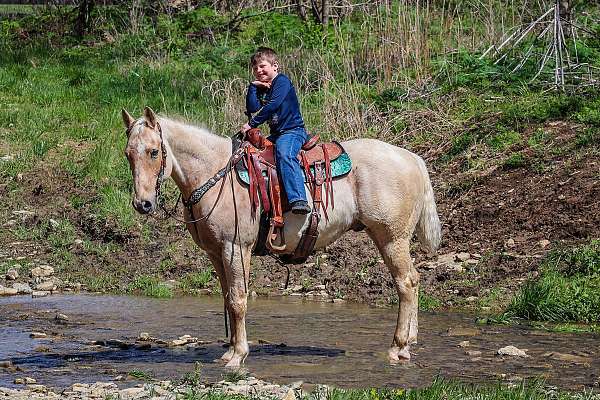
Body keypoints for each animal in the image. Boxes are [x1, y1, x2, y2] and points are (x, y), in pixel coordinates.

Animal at [122, 107, 440, 368]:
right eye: (128, 154)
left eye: (153, 152)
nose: (143, 204)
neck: (215, 172)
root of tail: (411, 157)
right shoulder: (216, 253)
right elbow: (226, 298)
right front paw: (229, 351)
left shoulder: (236, 248)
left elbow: (237, 299)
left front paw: (238, 356)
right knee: (413, 281)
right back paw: (408, 344)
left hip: (391, 238)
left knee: (406, 283)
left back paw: (397, 347)